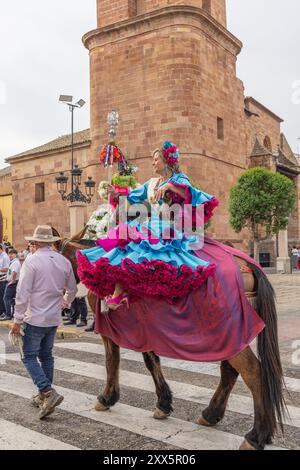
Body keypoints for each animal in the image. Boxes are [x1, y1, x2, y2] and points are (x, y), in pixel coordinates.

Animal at [52, 228, 288, 452]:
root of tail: (247, 264)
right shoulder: (145, 329)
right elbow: (151, 361)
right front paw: (163, 403)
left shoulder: (111, 331)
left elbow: (112, 362)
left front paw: (107, 398)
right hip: (232, 333)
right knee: (230, 371)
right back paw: (212, 414)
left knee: (254, 373)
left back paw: (256, 436)